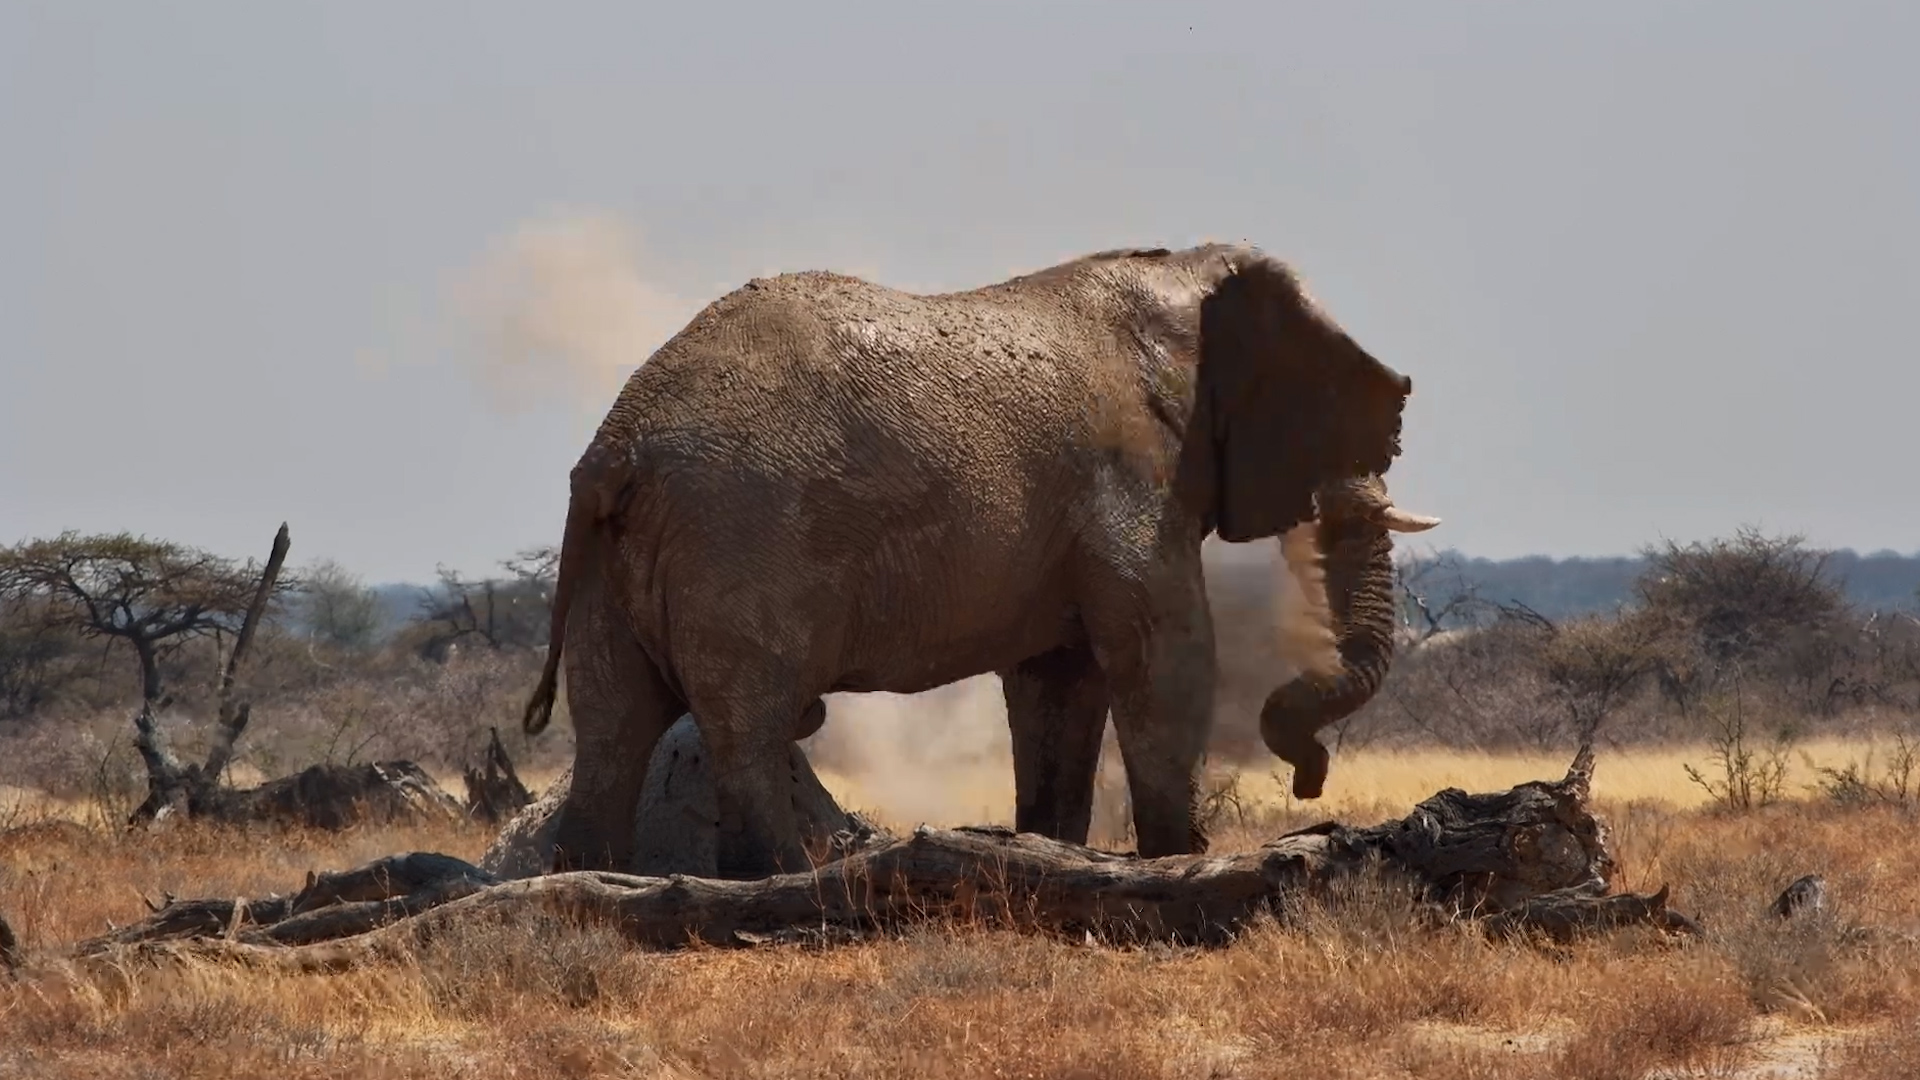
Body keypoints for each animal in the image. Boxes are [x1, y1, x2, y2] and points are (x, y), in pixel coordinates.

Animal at [520, 242, 1421, 878]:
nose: (1309, 782)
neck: (1178, 274)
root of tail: (615, 446)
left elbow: (1060, 683)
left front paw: (1053, 854)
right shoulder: (1127, 472)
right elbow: (1167, 654)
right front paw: (1177, 861)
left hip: (614, 563)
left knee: (612, 728)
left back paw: (587, 878)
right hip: (738, 534)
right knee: (746, 724)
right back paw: (777, 880)